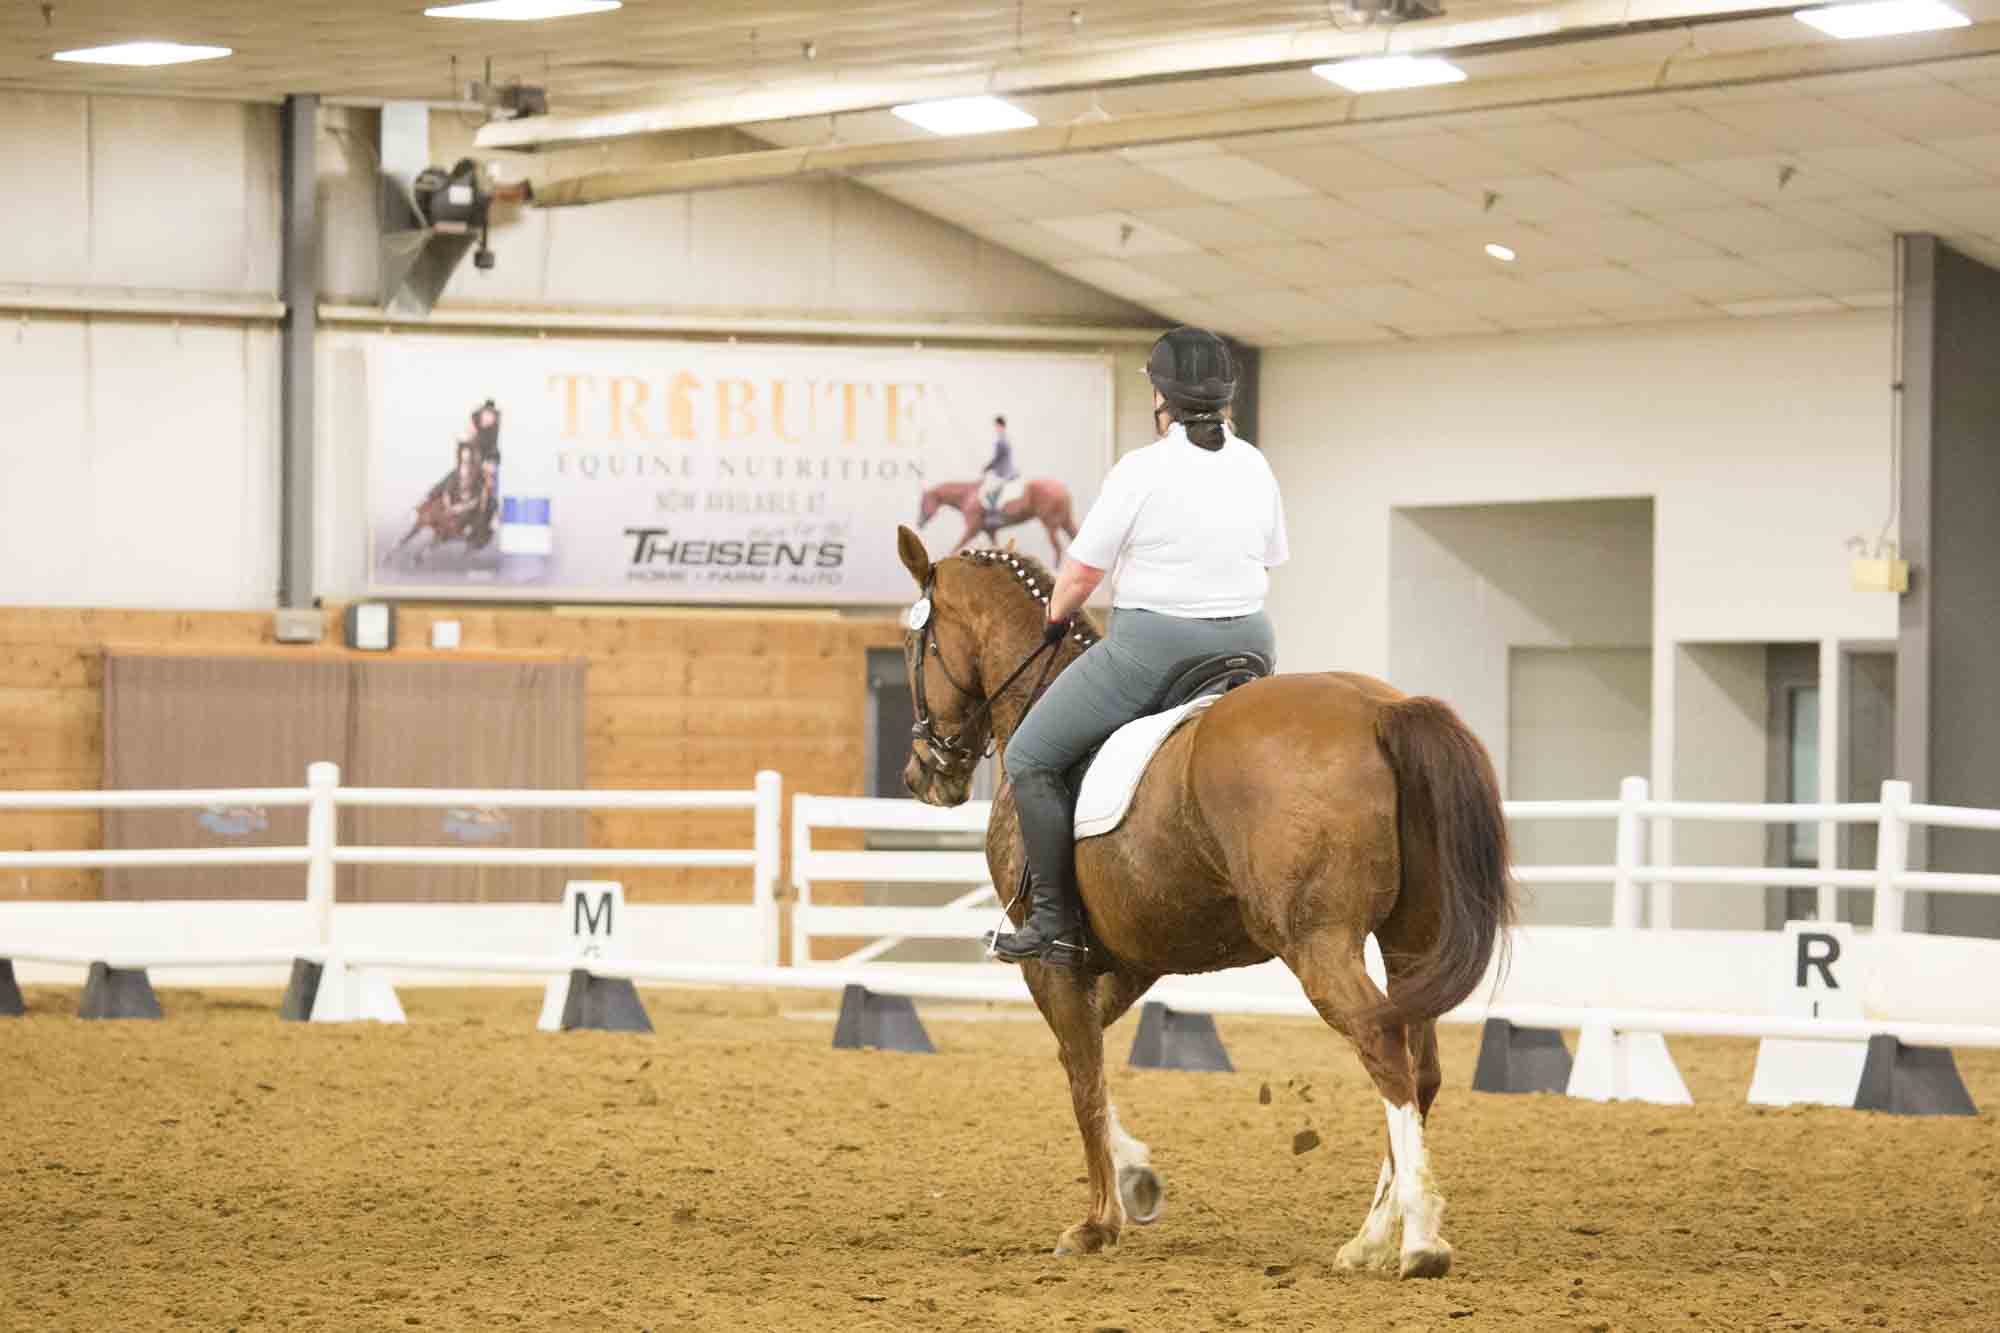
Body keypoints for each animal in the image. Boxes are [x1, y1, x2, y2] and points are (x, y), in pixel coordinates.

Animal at [893, 526, 1513, 1278]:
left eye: (911, 644)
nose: (923, 774)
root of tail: (1381, 710)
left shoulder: (1052, 961)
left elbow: (1081, 1074)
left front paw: (1097, 1222)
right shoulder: (1133, 959)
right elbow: (1087, 1057)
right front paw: (1136, 1179)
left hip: (1318, 943)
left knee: (1383, 1048)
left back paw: (1417, 1238)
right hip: (1410, 939)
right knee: (1420, 1069)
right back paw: (1370, 1237)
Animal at [917, 479, 1079, 560]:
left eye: (923, 501)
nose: (919, 523)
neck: (968, 496)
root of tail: (1061, 488)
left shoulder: (972, 528)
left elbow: (957, 546)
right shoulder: (990, 531)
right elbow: (997, 547)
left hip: (1050, 523)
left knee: (1057, 548)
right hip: (1065, 521)